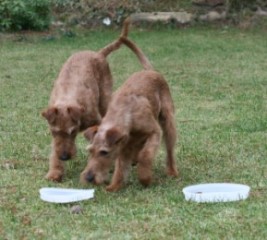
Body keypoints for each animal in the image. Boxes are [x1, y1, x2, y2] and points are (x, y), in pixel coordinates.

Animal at [80, 27, 179, 191]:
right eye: (90, 151)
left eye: (104, 152)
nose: (88, 178)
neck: (126, 114)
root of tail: (149, 70)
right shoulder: (124, 145)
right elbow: (121, 167)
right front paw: (113, 187)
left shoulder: (154, 132)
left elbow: (145, 156)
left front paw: (145, 179)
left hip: (168, 121)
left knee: (169, 150)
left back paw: (172, 172)